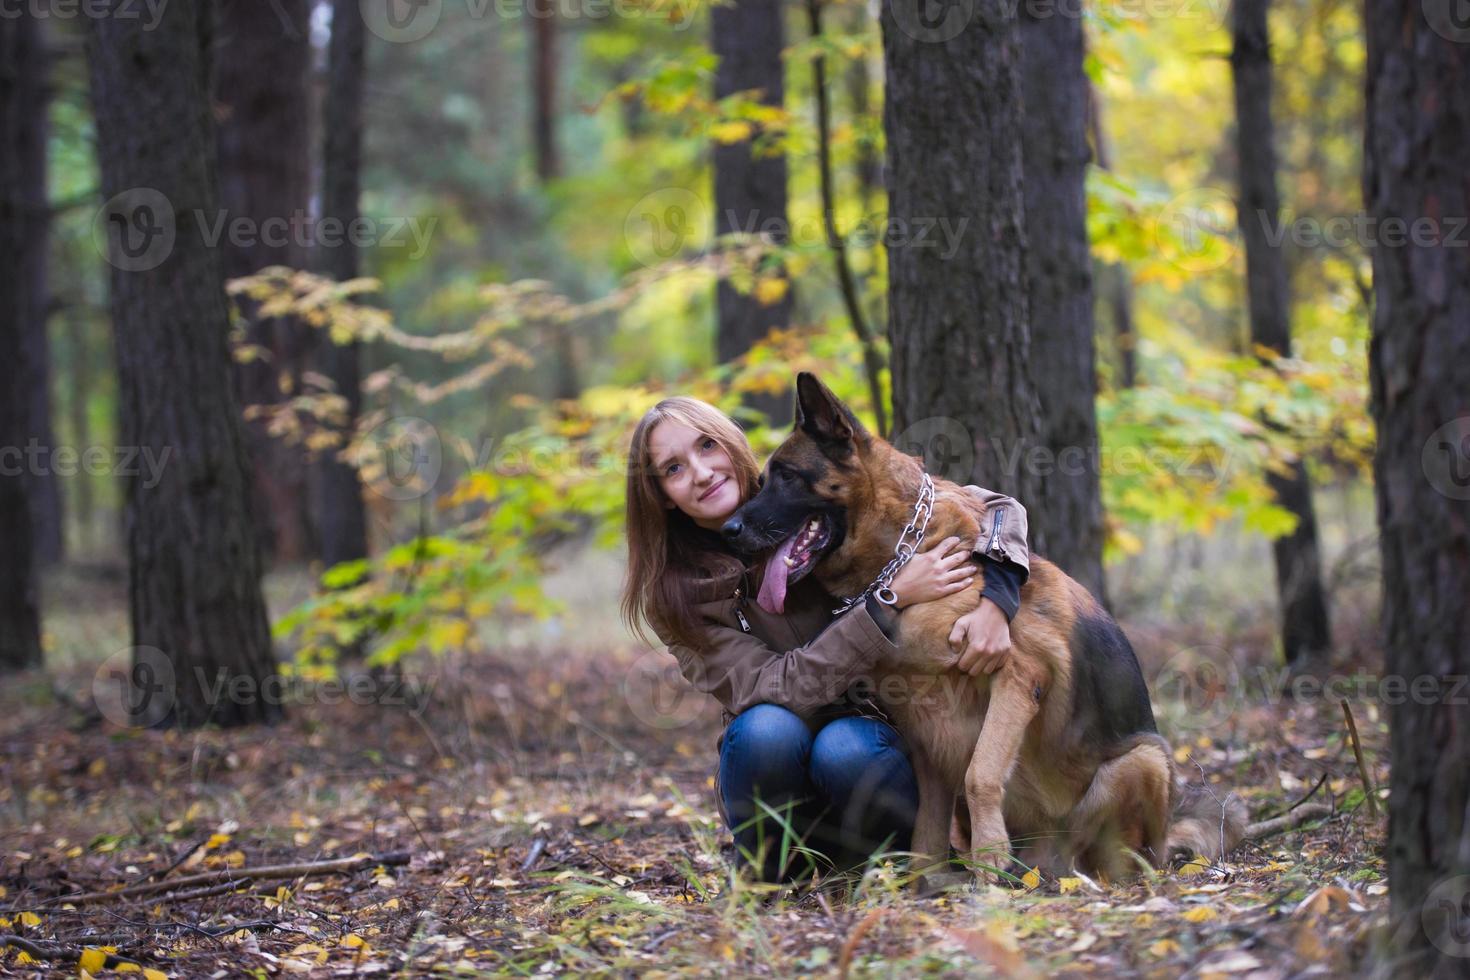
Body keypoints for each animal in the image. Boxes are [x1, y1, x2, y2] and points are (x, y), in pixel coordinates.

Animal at [723, 373, 1240, 881]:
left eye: (787, 477)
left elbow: (981, 773)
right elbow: (929, 818)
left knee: (1114, 857)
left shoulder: (1016, 678)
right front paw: (925, 881)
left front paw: (988, 858)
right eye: (762, 480)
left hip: (1141, 762)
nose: (728, 530)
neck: (901, 556)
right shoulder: (922, 725)